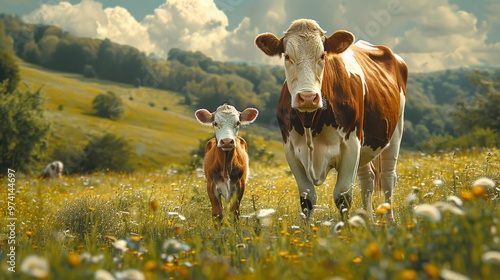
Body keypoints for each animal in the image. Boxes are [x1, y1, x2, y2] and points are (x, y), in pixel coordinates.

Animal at [256, 19, 408, 221]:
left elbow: (343, 197)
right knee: (367, 178)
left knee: (388, 178)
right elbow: (307, 199)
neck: (310, 122)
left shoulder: (351, 145)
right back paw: (368, 219)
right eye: (287, 56)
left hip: (396, 130)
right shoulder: (290, 149)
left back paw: (389, 220)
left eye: (322, 55)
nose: (307, 97)